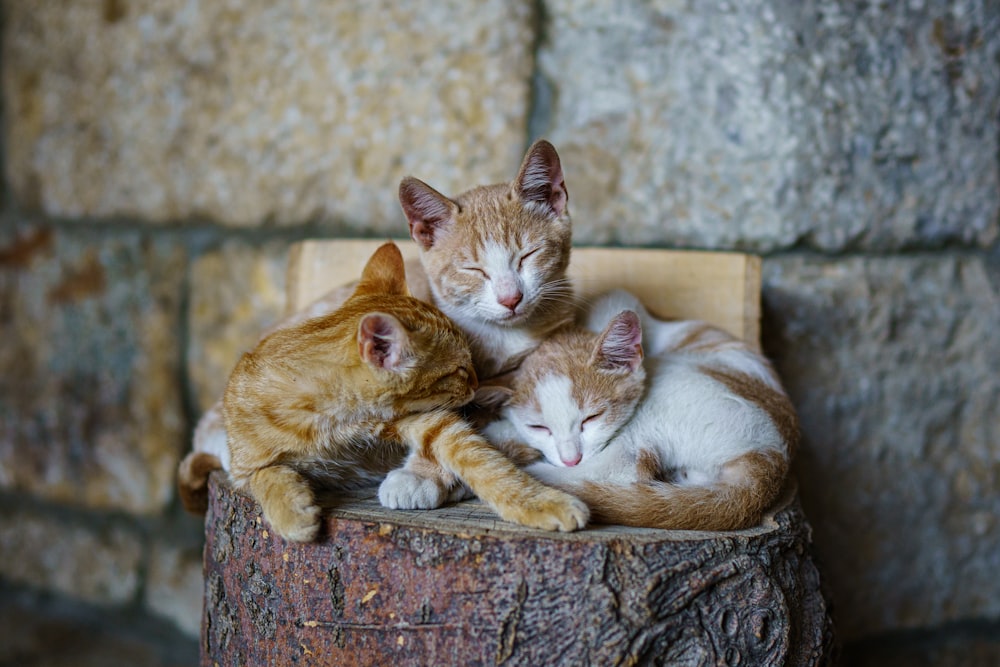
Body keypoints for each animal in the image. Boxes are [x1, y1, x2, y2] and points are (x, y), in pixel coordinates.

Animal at [218, 243, 584, 540]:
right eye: (460, 370)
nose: (477, 383)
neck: (334, 426)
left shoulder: (431, 421)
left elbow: (487, 464)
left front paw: (540, 502)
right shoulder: (240, 468)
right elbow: (266, 474)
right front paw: (291, 513)